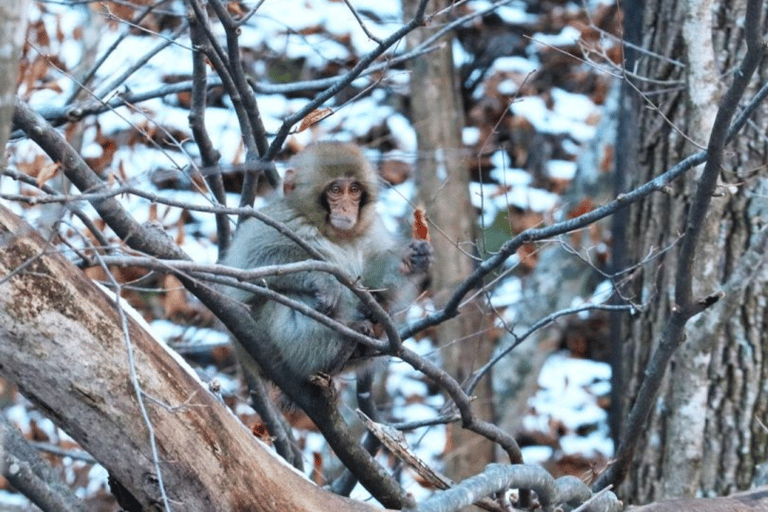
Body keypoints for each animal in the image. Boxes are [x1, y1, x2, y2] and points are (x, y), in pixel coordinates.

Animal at [222, 142, 432, 382]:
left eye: (354, 190)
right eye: (335, 190)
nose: (346, 208)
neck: (334, 234)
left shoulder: (372, 228)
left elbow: (373, 278)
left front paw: (409, 261)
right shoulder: (277, 220)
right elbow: (252, 267)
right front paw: (324, 280)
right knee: (285, 299)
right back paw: (337, 349)